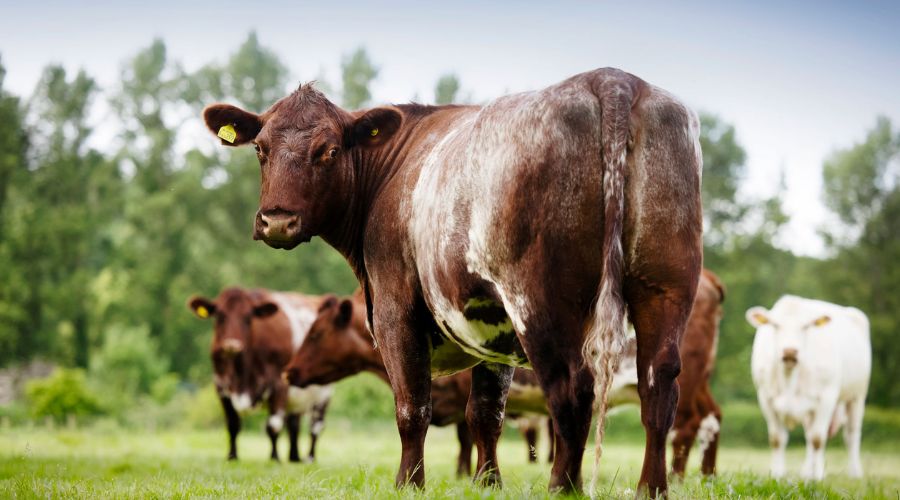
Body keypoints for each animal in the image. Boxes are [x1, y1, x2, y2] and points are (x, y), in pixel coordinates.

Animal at [187, 288, 334, 462]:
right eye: (220, 316)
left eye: (247, 318)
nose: (232, 345)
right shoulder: (221, 386)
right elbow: (232, 424)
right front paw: (232, 456)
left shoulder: (279, 384)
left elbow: (273, 425)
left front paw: (274, 457)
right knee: (294, 424)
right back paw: (294, 457)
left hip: (323, 395)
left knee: (315, 427)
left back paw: (309, 457)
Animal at [204, 67, 704, 496]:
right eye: (260, 148)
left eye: (328, 150)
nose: (277, 222)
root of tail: (610, 79)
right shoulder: (493, 327)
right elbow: (485, 413)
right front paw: (488, 484)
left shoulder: (396, 308)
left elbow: (412, 406)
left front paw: (408, 484)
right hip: (667, 287)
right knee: (659, 385)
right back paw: (651, 488)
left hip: (539, 301)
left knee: (571, 390)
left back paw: (565, 487)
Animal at [744, 294, 872, 478]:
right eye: (775, 325)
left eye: (805, 327)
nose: (790, 351)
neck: (790, 377)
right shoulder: (765, 398)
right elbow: (777, 439)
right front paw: (777, 474)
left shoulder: (827, 397)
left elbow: (818, 439)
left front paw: (817, 477)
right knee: (809, 436)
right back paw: (806, 472)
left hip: (857, 397)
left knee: (851, 434)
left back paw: (854, 472)